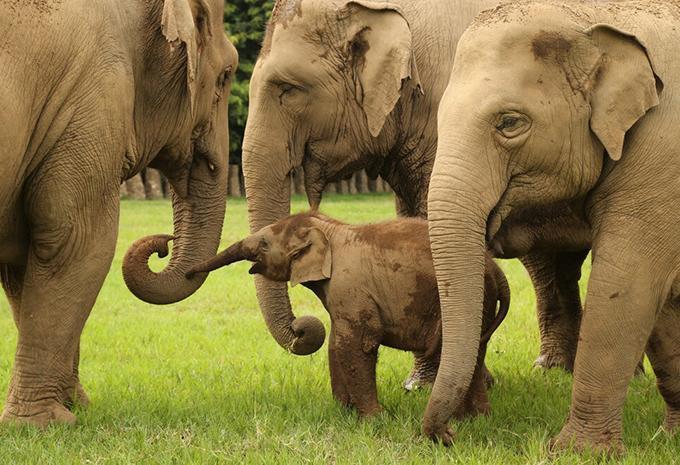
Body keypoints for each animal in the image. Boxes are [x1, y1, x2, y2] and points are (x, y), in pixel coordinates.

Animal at [0, 0, 237, 426]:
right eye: (226, 75)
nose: (164, 242)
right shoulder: (93, 100)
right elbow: (75, 241)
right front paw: (45, 423)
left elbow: (24, 262)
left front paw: (75, 407)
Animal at [187, 212, 510, 417]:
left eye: (264, 244)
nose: (189, 272)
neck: (328, 228)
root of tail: (495, 268)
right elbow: (336, 344)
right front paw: (344, 412)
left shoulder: (351, 285)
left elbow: (358, 343)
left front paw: (373, 419)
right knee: (476, 350)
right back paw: (476, 418)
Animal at [241, 0, 589, 387]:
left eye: (288, 89)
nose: (304, 328)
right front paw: (423, 384)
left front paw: (434, 384)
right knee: (552, 264)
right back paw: (554, 369)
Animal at [424, 0, 680, 454]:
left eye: (509, 123)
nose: (448, 435)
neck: (591, 19)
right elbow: (662, 300)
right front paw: (667, 438)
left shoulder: (662, 154)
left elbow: (628, 282)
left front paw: (579, 452)